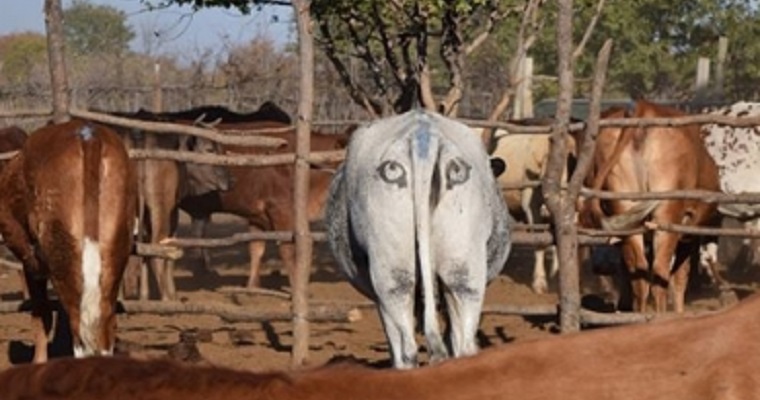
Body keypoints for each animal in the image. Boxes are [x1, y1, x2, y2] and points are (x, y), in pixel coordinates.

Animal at [0, 120, 137, 363]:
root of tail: (89, 136)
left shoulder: (32, 263)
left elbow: (41, 315)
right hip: (115, 251)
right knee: (105, 327)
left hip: (61, 253)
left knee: (79, 331)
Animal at [577, 100, 720, 313]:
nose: (599, 266)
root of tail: (642, 107)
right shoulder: (687, 234)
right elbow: (680, 277)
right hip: (666, 213)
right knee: (660, 272)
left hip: (626, 209)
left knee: (639, 272)